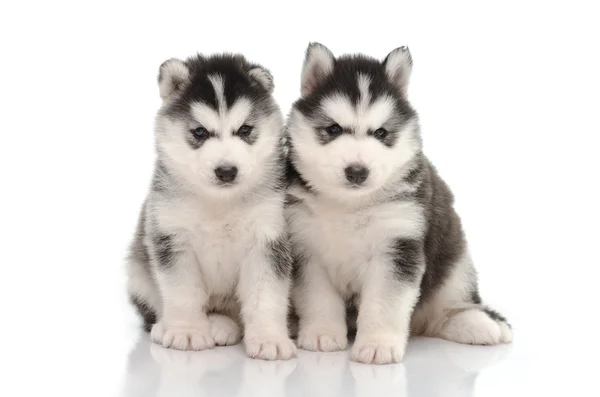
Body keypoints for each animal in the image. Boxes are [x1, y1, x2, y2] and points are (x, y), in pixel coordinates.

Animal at [126, 52, 296, 358]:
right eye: (199, 132)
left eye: (245, 129)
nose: (226, 171)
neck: (219, 203)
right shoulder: (172, 236)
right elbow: (182, 291)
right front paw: (187, 331)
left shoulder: (267, 238)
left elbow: (266, 295)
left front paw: (269, 339)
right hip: (137, 271)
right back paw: (170, 326)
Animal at [286, 42, 510, 362]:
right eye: (333, 129)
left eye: (381, 133)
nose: (357, 171)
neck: (349, 205)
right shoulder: (306, 248)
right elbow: (319, 298)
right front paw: (321, 334)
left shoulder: (397, 246)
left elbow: (384, 302)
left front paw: (377, 344)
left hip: (455, 260)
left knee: (446, 307)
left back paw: (479, 324)